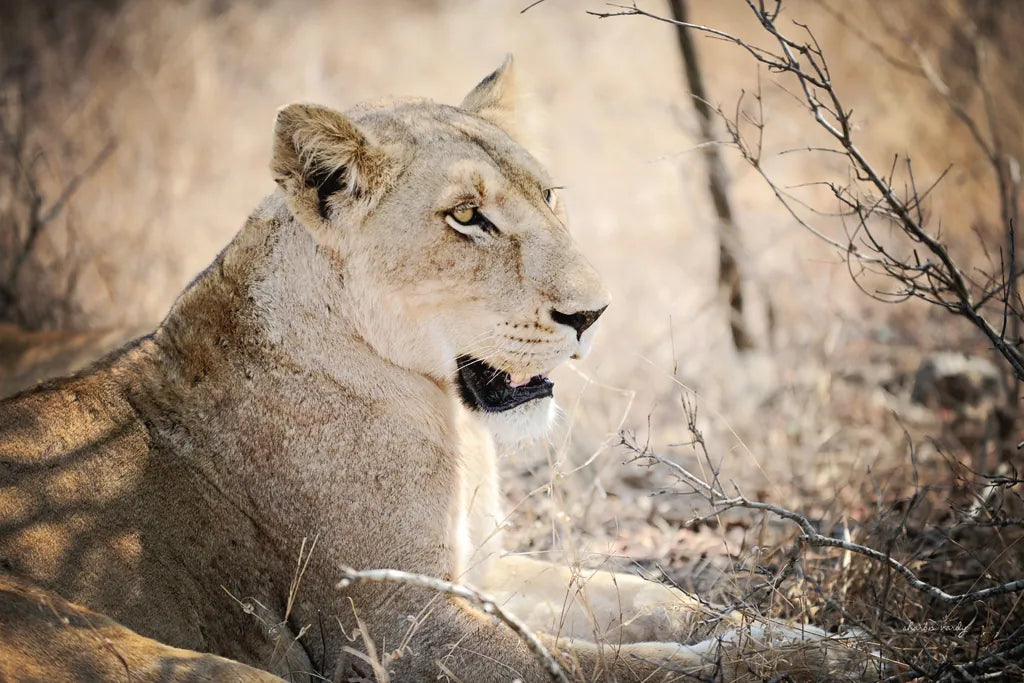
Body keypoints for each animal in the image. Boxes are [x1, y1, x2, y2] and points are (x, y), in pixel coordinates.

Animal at [0, 59, 869, 681]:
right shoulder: (400, 628)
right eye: (466, 217)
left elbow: (649, 596)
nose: (593, 315)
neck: (448, 415)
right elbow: (607, 667)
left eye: (548, 194)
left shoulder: (476, 572)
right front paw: (808, 660)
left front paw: (803, 631)